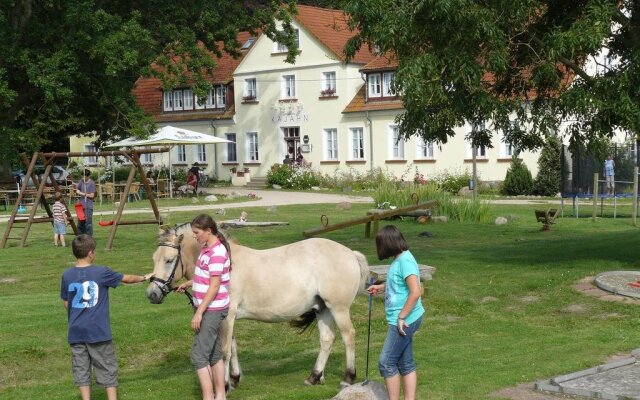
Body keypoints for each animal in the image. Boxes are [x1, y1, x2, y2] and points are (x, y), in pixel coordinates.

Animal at [146, 222, 370, 388]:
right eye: (154, 258)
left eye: (169, 260)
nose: (152, 294)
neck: (225, 262)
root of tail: (350, 253)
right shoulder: (228, 317)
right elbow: (233, 346)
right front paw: (235, 378)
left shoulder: (228, 315)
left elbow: (225, 350)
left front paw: (225, 385)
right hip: (323, 309)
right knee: (326, 340)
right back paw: (314, 376)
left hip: (338, 308)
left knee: (349, 336)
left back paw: (348, 377)